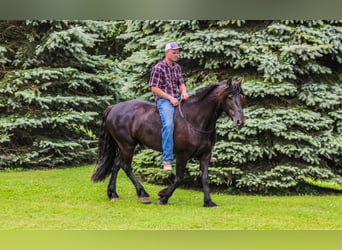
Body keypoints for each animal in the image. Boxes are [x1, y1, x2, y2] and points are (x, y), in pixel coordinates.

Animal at [92, 78, 244, 207]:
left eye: (242, 96)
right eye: (229, 96)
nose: (240, 121)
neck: (195, 120)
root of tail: (113, 108)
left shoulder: (205, 155)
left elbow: (205, 177)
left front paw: (208, 202)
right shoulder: (182, 155)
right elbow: (179, 179)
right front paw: (163, 196)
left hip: (124, 146)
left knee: (117, 164)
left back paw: (113, 194)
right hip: (127, 145)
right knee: (125, 166)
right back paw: (143, 194)